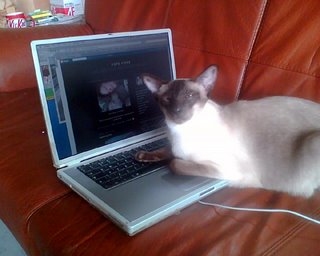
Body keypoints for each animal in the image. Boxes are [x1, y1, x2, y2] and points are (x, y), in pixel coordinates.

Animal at [135, 65, 320, 197]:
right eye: (167, 99)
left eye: (189, 96)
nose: (177, 111)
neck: (179, 131)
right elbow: (167, 150)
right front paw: (143, 156)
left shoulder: (226, 170)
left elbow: (175, 163)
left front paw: (172, 161)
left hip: (313, 141)